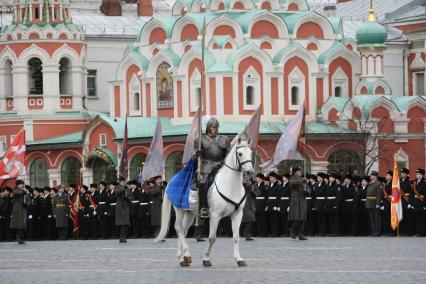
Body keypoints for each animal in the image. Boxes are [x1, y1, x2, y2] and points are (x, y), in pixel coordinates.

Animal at [158, 139, 255, 268]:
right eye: (240, 153)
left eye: (250, 152)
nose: (250, 172)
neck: (230, 185)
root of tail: (171, 181)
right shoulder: (215, 215)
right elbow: (212, 238)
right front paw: (206, 259)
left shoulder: (237, 214)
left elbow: (236, 237)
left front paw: (239, 259)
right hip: (179, 210)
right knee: (178, 228)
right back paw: (186, 254)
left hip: (189, 213)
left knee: (183, 230)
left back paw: (182, 258)